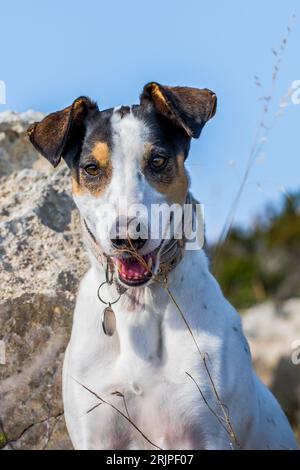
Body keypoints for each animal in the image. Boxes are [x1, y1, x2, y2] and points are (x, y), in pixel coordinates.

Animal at [27, 82, 298, 450]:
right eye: (92, 169)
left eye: (157, 160)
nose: (128, 237)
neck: (140, 307)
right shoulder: (96, 434)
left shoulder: (212, 431)